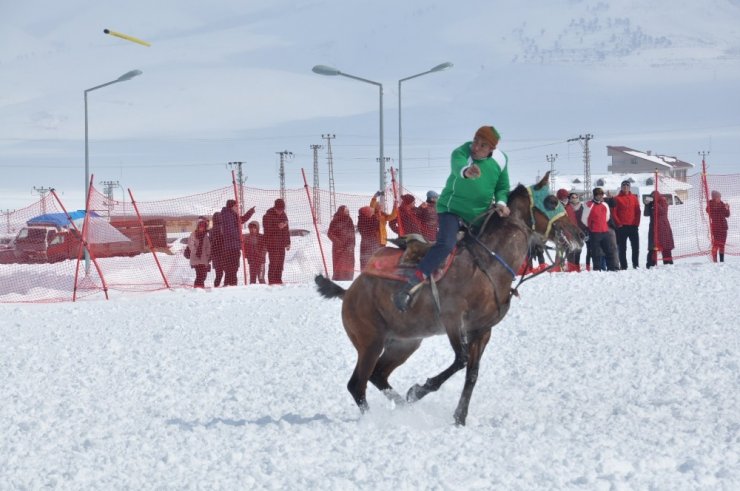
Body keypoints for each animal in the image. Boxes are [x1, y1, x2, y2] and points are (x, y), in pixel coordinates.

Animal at [316, 174, 580, 426]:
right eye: (552, 201)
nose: (580, 234)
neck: (487, 265)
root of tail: (349, 292)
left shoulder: (482, 330)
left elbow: (472, 373)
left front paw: (459, 417)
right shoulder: (453, 319)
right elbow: (461, 360)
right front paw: (419, 390)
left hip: (404, 343)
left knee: (377, 375)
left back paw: (405, 409)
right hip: (370, 342)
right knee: (357, 384)